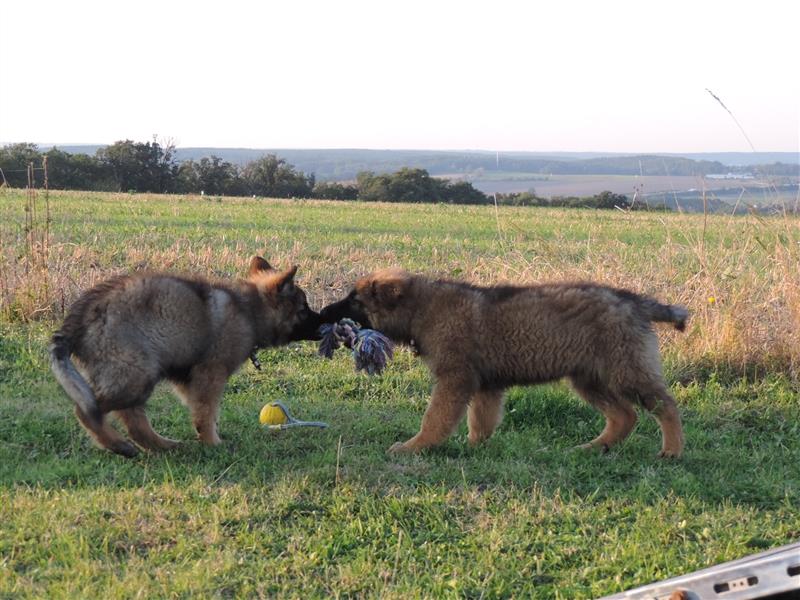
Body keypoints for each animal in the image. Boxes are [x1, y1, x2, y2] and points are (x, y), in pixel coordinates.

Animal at [50, 255, 322, 458]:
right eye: (304, 309)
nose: (325, 324)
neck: (249, 310)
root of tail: (77, 321)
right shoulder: (210, 373)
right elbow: (206, 411)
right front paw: (213, 443)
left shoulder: (188, 377)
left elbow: (203, 411)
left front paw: (207, 437)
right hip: (137, 373)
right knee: (88, 410)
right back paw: (120, 445)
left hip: (136, 374)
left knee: (133, 420)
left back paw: (162, 445)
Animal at [322, 270, 684, 458]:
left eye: (355, 301)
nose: (323, 312)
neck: (422, 308)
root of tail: (634, 301)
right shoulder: (486, 386)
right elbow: (480, 422)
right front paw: (473, 448)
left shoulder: (455, 378)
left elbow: (435, 419)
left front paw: (416, 446)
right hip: (589, 377)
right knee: (624, 415)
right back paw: (595, 447)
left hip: (626, 370)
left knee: (665, 406)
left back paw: (672, 450)